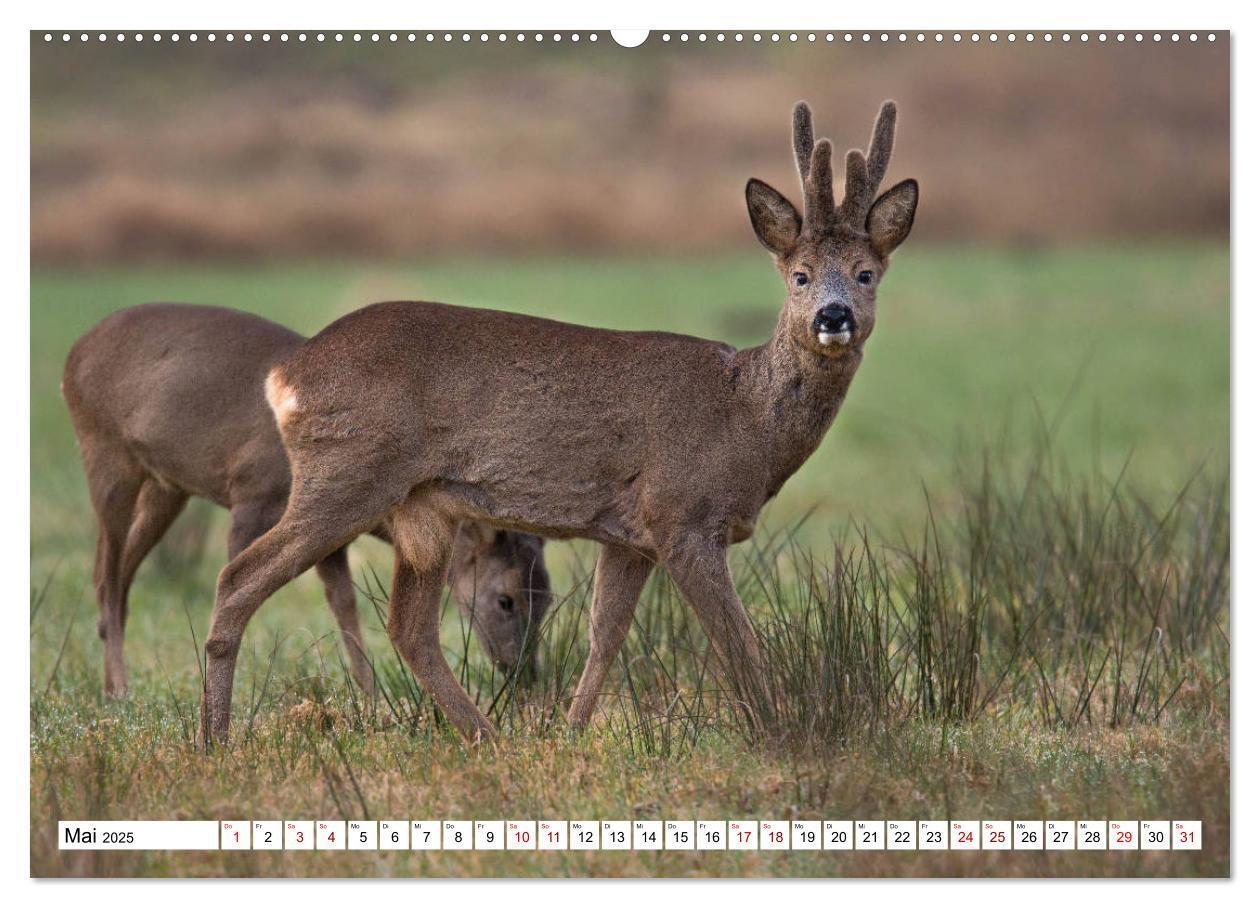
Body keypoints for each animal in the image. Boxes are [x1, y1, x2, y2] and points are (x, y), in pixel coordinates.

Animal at [60, 302, 551, 695]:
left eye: (546, 595)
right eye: (506, 599)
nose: (523, 673)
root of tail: (74, 352)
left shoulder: (331, 536)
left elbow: (344, 605)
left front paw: (372, 698)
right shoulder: (252, 494)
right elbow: (238, 584)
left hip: (167, 485)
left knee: (117, 573)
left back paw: (110, 676)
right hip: (103, 451)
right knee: (106, 571)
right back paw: (120, 688)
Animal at [201, 100, 922, 745]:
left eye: (866, 274)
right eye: (799, 275)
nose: (834, 315)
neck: (747, 419)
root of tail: (284, 374)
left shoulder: (633, 533)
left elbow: (607, 633)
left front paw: (571, 733)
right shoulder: (683, 512)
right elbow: (736, 639)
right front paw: (781, 734)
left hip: (421, 510)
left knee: (409, 626)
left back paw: (489, 737)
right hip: (346, 471)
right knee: (238, 578)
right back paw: (216, 739)